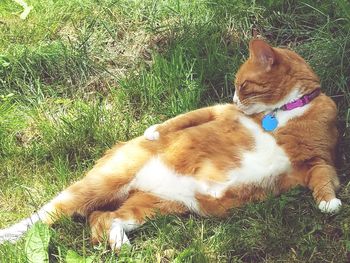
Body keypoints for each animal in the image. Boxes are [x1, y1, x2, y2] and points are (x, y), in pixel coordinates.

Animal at [0, 38, 342, 252]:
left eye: (242, 85)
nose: (234, 98)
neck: (286, 111)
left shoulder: (317, 162)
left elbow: (324, 180)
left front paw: (329, 203)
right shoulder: (218, 111)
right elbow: (183, 118)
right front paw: (154, 131)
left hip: (153, 208)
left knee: (101, 219)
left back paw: (119, 244)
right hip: (101, 184)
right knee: (45, 215)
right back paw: (8, 235)